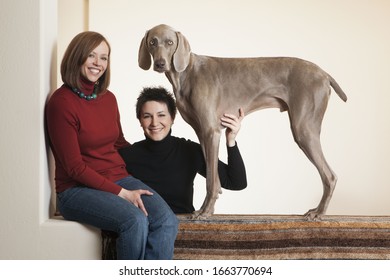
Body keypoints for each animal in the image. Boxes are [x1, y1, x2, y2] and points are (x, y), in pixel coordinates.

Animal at [138, 23, 348, 221]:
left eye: (170, 42)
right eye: (153, 42)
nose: (160, 64)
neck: (186, 74)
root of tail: (323, 73)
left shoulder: (211, 131)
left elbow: (211, 180)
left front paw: (205, 212)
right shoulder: (202, 133)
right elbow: (213, 174)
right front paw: (208, 208)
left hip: (303, 128)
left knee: (330, 176)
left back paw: (319, 212)